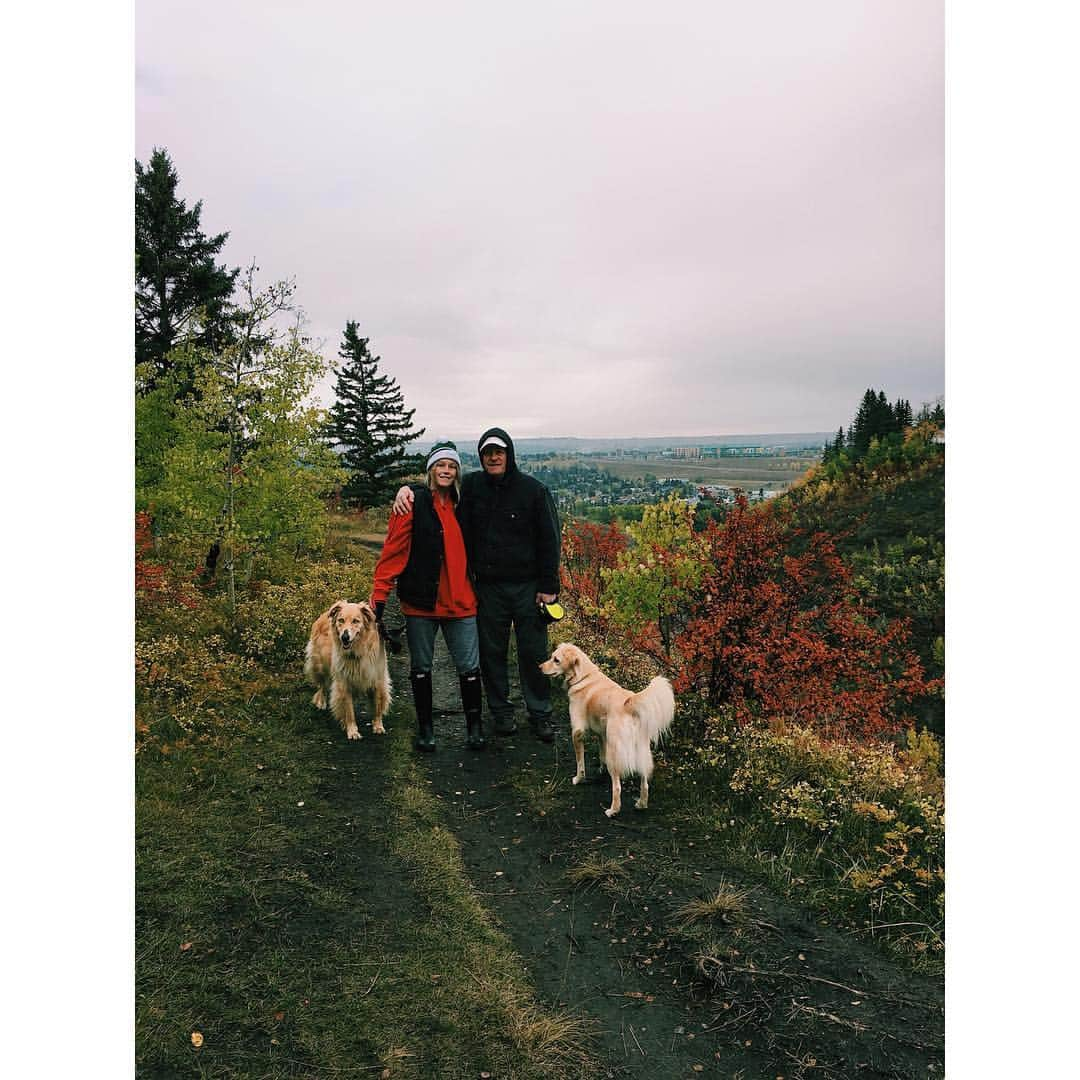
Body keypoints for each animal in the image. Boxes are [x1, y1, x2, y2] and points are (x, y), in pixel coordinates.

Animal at [302, 600, 390, 743]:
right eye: (341, 620)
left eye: (356, 621)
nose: (345, 637)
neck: (357, 651)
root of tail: (325, 613)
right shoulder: (344, 683)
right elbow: (349, 711)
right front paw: (352, 731)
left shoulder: (377, 679)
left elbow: (377, 705)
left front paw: (378, 726)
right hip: (320, 665)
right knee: (322, 685)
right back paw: (321, 701)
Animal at [535, 643, 669, 812]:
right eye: (552, 657)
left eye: (556, 660)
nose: (539, 667)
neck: (584, 677)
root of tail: (629, 702)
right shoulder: (601, 734)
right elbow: (601, 754)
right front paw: (601, 770)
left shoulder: (577, 732)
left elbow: (580, 763)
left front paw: (578, 779)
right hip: (641, 751)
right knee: (645, 783)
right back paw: (641, 804)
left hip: (615, 754)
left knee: (617, 787)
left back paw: (613, 810)